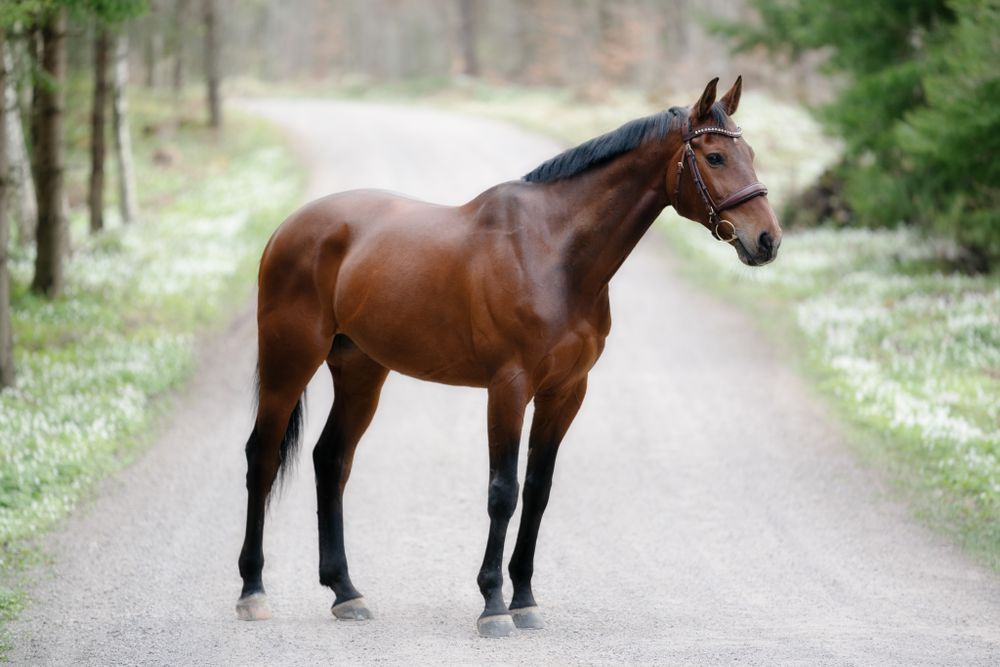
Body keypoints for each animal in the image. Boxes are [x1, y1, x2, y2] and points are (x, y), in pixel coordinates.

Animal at [235, 76, 781, 637]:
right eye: (714, 156)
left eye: (750, 154)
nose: (767, 239)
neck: (553, 252)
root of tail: (290, 228)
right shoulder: (509, 387)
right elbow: (503, 491)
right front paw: (494, 604)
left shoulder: (565, 392)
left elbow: (537, 492)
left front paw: (524, 600)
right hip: (289, 361)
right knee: (263, 457)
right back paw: (253, 591)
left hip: (362, 371)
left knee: (331, 460)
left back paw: (345, 592)